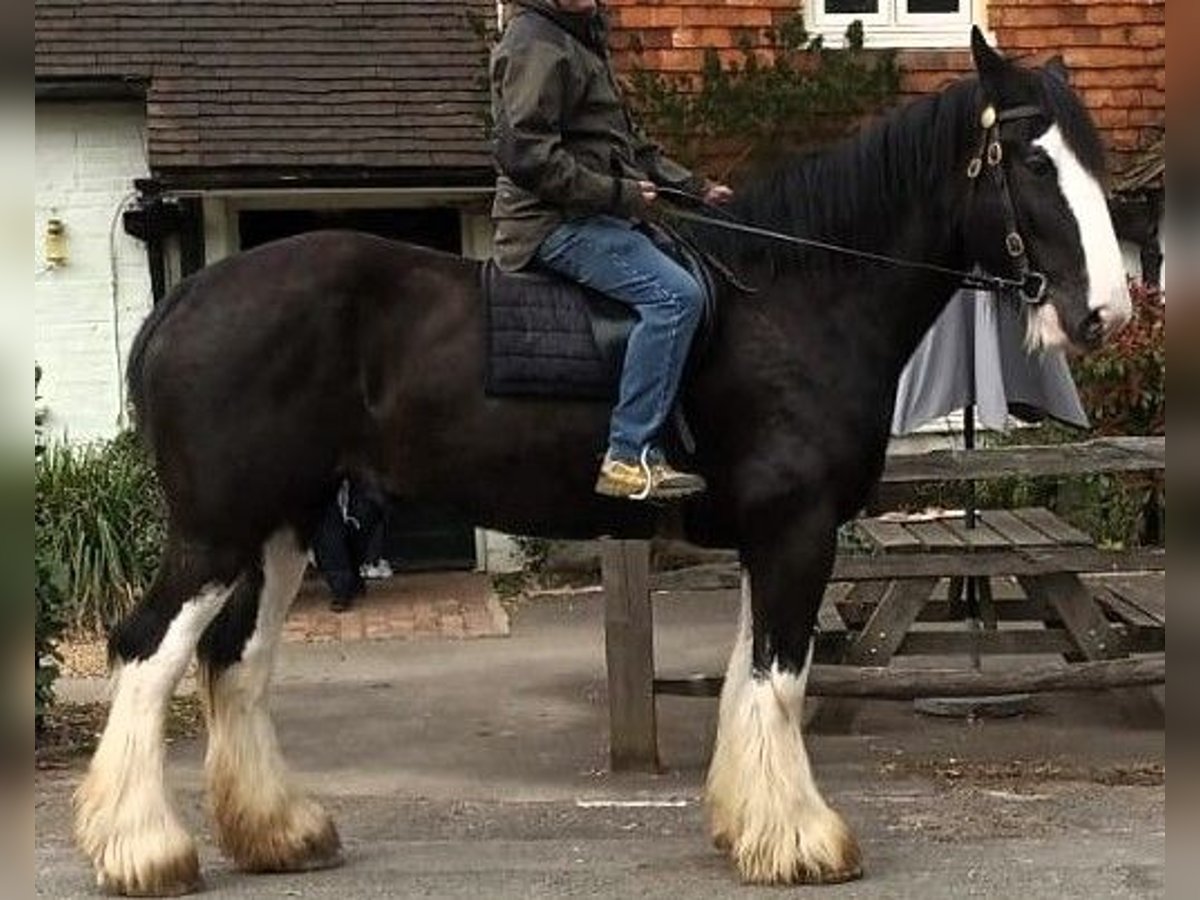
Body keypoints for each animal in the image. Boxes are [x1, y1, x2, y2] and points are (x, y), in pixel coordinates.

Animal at [79, 28, 1128, 897]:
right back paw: (145, 851)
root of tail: (187, 303)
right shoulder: (796, 530)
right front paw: (801, 841)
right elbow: (782, 680)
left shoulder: (772, 535)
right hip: (218, 531)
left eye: (1094, 158)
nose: (1107, 313)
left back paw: (278, 832)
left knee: (235, 661)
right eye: (1033, 160)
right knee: (147, 651)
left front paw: (747, 823)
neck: (798, 295)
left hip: (285, 527)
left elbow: (750, 678)